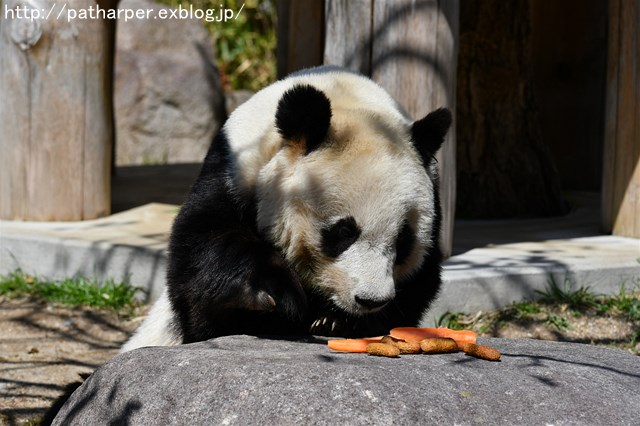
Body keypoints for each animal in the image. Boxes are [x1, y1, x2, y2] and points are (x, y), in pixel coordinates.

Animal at [120, 67, 450, 352]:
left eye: (403, 240)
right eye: (343, 232)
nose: (370, 299)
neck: (345, 99)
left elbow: (418, 287)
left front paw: (336, 320)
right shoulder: (233, 169)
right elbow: (203, 255)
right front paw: (274, 294)